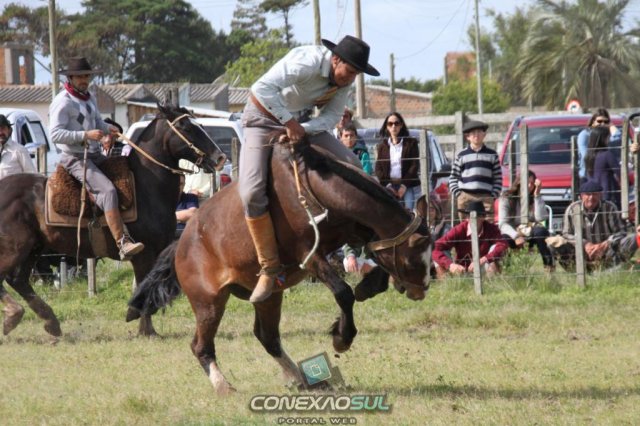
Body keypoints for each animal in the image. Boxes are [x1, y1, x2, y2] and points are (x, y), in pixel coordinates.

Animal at [0, 103, 226, 337]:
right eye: (186, 127)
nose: (219, 157)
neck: (146, 187)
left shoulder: (159, 250)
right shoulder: (144, 253)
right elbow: (143, 284)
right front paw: (145, 328)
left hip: (34, 248)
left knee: (18, 279)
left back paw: (50, 322)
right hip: (15, 248)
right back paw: (14, 313)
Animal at [127, 137, 432, 394]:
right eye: (413, 258)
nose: (422, 290)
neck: (311, 186)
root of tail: (182, 243)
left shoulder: (355, 229)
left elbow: (372, 253)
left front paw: (369, 286)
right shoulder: (308, 255)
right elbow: (343, 292)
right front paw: (341, 338)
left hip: (269, 297)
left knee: (268, 337)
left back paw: (301, 378)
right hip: (208, 302)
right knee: (200, 345)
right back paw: (224, 386)